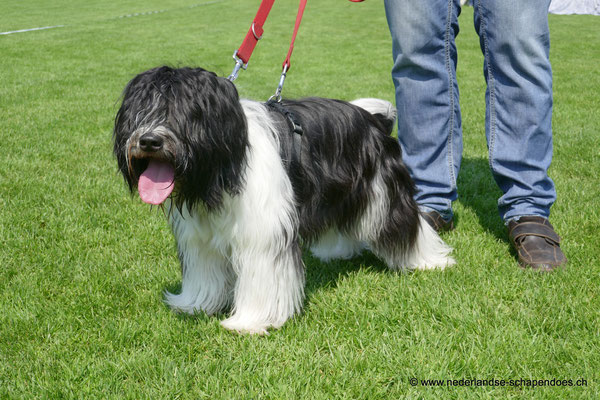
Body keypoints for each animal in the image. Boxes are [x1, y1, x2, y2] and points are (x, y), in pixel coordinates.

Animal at [113, 65, 454, 334]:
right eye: (138, 113)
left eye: (184, 113)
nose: (148, 140)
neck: (224, 164)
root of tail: (373, 118)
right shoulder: (201, 238)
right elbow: (204, 272)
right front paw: (195, 304)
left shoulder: (262, 234)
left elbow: (261, 277)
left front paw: (249, 322)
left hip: (382, 192)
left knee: (404, 222)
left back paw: (431, 260)